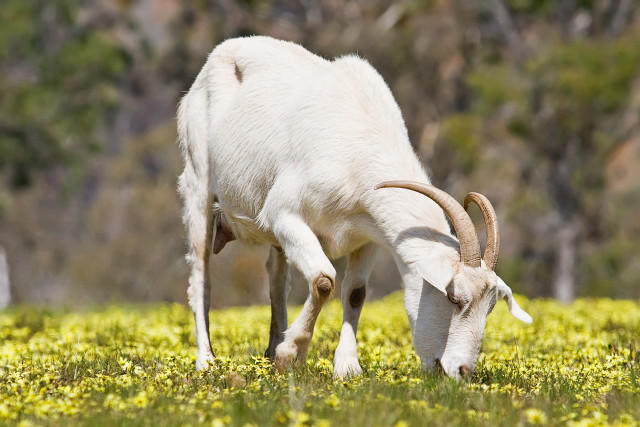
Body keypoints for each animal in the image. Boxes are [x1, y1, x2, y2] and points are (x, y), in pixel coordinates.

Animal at [177, 36, 532, 379]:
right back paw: (206, 361)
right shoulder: (285, 214)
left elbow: (355, 293)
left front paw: (346, 368)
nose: (462, 371)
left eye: (490, 307)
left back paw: (270, 350)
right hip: (198, 182)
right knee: (201, 277)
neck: (358, 149)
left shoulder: (369, 235)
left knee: (277, 280)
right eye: (455, 299)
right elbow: (323, 280)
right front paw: (291, 355)